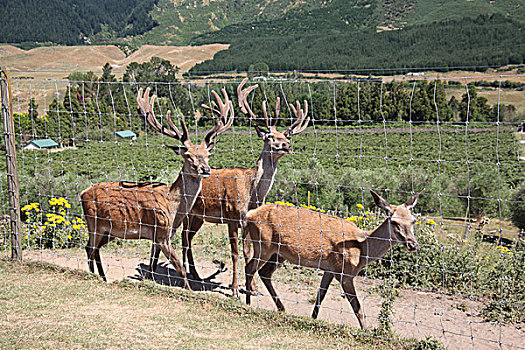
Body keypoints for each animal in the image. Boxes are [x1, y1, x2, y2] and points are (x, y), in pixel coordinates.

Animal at [80, 86, 233, 288]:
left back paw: (103, 277)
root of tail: (82, 193)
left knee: (94, 249)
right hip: (93, 222)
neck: (173, 207)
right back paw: (93, 276)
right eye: (188, 156)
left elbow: (153, 263)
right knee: (89, 247)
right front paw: (188, 289)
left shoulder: (159, 235)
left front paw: (150, 280)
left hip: (108, 230)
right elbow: (180, 268)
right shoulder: (161, 232)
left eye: (208, 154)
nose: (205, 169)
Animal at [178, 78, 310, 296]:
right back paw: (188, 273)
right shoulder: (231, 217)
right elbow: (235, 253)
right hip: (189, 212)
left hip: (199, 216)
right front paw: (234, 290)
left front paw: (253, 288)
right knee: (183, 237)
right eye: (269, 136)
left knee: (187, 237)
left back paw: (195, 274)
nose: (285, 144)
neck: (252, 194)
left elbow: (249, 253)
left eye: (286, 136)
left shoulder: (247, 222)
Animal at [243, 189, 422, 328]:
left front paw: (313, 318)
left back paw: (281, 308)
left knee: (264, 273)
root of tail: (249, 215)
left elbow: (320, 295)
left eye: (413, 221)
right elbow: (357, 307)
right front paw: (366, 330)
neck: (362, 249)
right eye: (394, 222)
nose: (413, 244)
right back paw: (248, 302)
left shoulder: (330, 269)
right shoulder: (344, 273)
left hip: (278, 253)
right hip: (263, 245)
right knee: (250, 268)